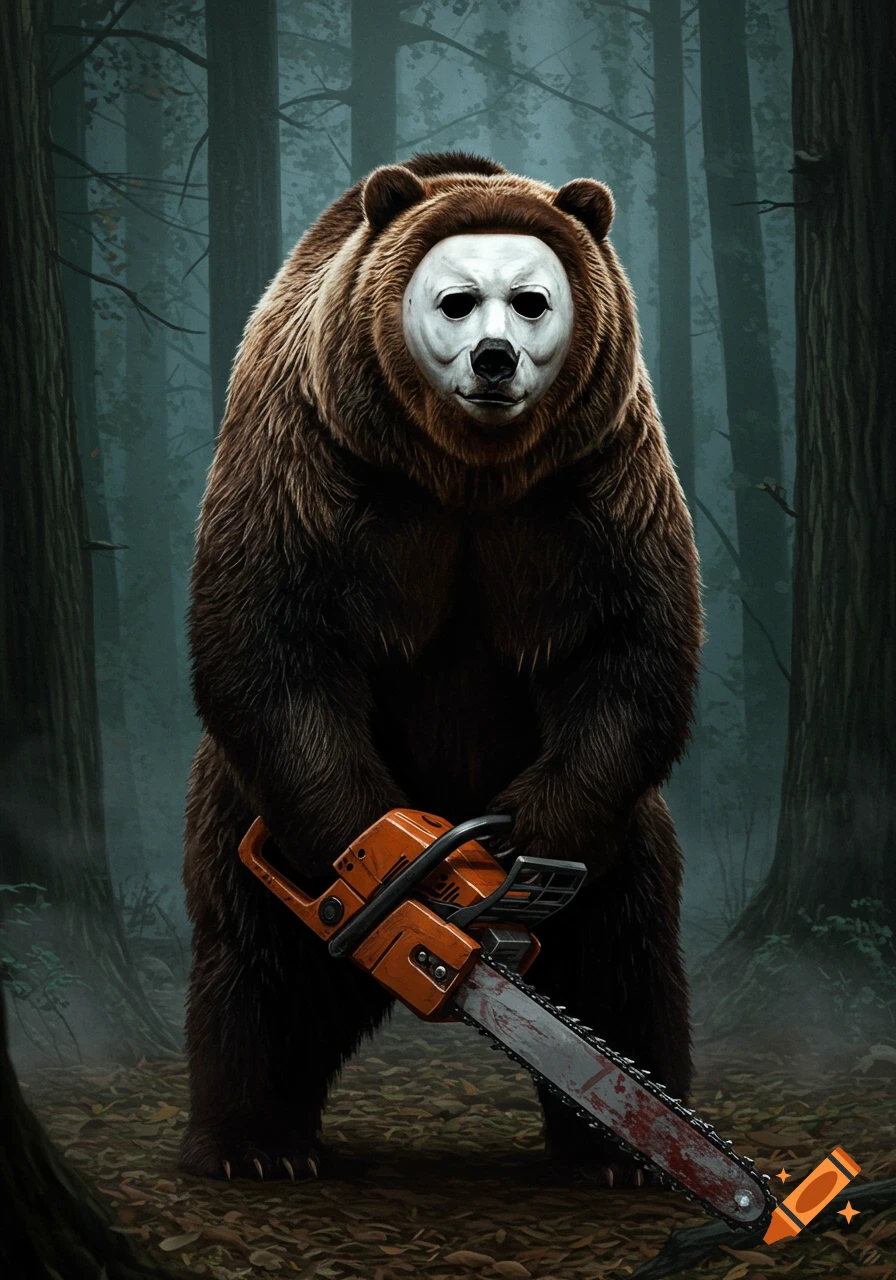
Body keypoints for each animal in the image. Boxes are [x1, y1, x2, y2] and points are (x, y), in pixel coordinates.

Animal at [179, 150, 702, 1186]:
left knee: (624, 959)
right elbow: (267, 630)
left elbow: (632, 641)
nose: (494, 360)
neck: (465, 470)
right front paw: (394, 875)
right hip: (243, 806)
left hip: (633, 841)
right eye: (457, 301)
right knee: (255, 963)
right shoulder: (313, 449)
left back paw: (625, 1150)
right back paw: (253, 1140)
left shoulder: (597, 470)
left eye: (532, 300)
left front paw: (501, 853)